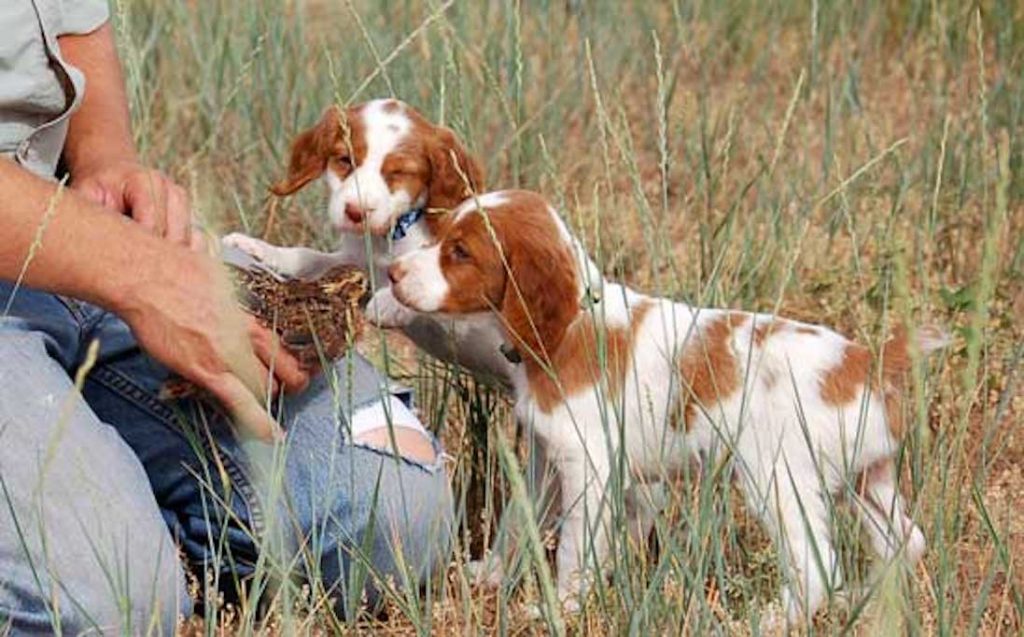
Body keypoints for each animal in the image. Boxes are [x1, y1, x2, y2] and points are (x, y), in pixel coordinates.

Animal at [221, 100, 516, 385]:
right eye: (344, 160)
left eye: (398, 172)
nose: (355, 211)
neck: (387, 239)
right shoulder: (356, 263)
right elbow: (309, 258)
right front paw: (258, 248)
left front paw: (390, 301)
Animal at [385, 188, 950, 622]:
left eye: (460, 252)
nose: (391, 273)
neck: (573, 325)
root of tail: (865, 361)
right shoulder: (548, 461)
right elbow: (516, 523)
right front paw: (490, 575)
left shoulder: (589, 469)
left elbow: (572, 551)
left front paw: (557, 609)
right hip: (867, 479)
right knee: (906, 542)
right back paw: (863, 600)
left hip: (778, 481)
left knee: (818, 569)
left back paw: (770, 618)